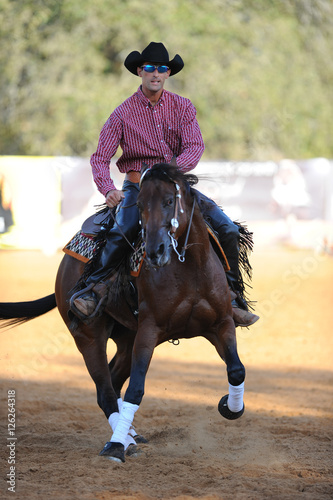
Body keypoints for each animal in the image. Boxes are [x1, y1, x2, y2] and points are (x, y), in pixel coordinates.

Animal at [0, 165, 244, 464]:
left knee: (114, 382)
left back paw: (131, 435)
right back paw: (123, 440)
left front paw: (230, 406)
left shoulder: (221, 324)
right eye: (139, 206)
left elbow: (236, 370)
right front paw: (115, 446)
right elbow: (136, 390)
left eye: (169, 201)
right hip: (89, 337)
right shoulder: (149, 331)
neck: (191, 271)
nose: (154, 251)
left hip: (128, 339)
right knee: (105, 391)